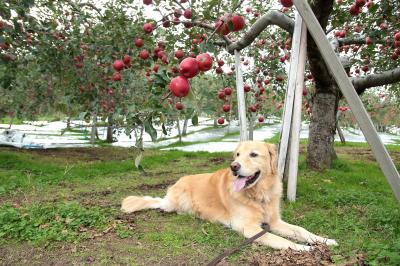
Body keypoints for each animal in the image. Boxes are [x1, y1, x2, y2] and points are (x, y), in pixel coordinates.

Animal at [120, 140, 336, 250]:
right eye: (237, 155)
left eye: (254, 154)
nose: (234, 167)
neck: (259, 195)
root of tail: (177, 182)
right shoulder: (250, 228)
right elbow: (282, 241)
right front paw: (304, 248)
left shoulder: (274, 222)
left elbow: (301, 230)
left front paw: (324, 240)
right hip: (174, 202)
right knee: (156, 202)